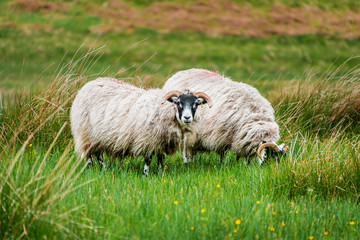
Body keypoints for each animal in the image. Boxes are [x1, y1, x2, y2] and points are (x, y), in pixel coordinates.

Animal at [69, 78, 212, 175]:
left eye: (195, 104)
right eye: (179, 103)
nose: (187, 118)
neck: (164, 110)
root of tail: (89, 84)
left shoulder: (161, 142)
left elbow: (160, 158)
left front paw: (160, 173)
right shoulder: (147, 139)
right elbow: (148, 159)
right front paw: (145, 175)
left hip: (97, 136)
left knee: (98, 153)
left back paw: (103, 169)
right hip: (85, 132)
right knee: (88, 154)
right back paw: (91, 168)